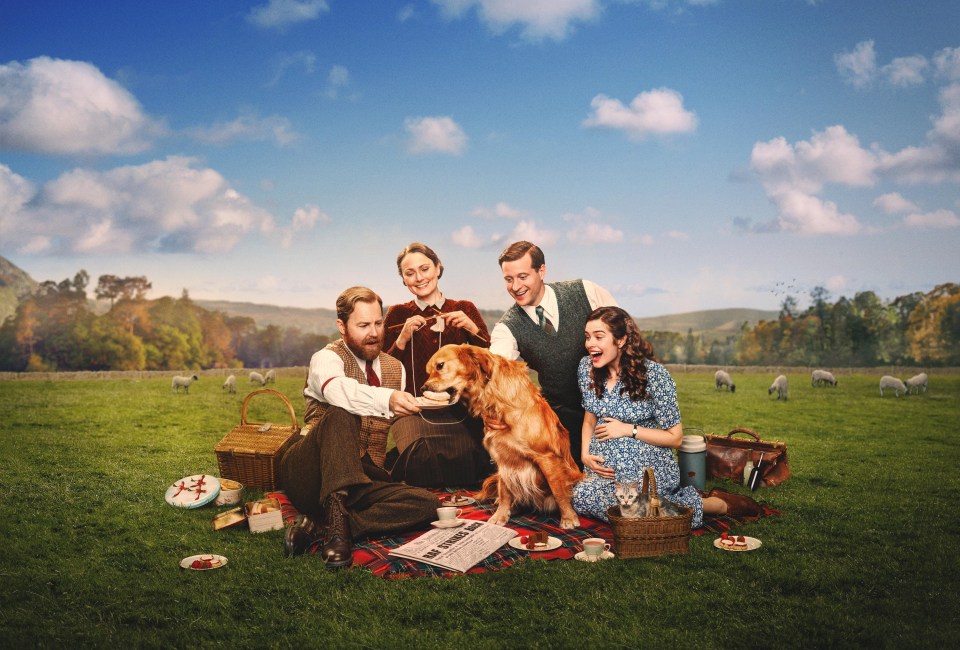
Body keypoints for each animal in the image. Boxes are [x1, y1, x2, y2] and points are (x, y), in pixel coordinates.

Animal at [422, 344, 584, 528]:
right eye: (428, 371)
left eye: (440, 366)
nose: (422, 389)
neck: (497, 404)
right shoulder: (503, 458)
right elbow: (505, 490)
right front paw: (500, 515)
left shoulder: (547, 457)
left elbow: (558, 490)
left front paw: (568, 517)